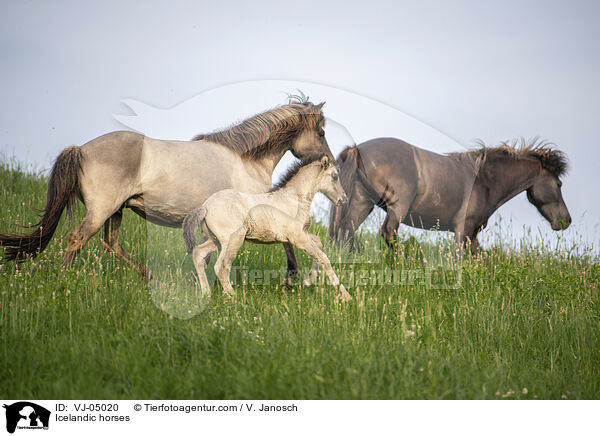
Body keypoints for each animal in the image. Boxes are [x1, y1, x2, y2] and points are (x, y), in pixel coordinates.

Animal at [0, 96, 332, 278]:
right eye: (322, 132)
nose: (329, 161)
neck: (244, 158)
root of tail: (81, 150)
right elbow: (286, 241)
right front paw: (293, 277)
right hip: (102, 210)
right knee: (77, 239)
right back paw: (65, 279)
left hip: (116, 211)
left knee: (111, 244)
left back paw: (151, 279)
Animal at [183, 152, 352, 302]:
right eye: (335, 176)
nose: (343, 199)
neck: (294, 198)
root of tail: (205, 207)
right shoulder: (298, 237)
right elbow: (324, 258)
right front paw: (346, 296)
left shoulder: (300, 234)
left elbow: (318, 243)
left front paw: (308, 280)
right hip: (233, 240)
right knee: (221, 266)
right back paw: (233, 296)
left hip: (216, 241)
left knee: (198, 254)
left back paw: (206, 293)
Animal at [330, 136, 568, 252]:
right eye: (558, 184)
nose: (566, 220)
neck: (484, 180)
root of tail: (356, 149)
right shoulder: (464, 230)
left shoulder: (473, 234)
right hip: (397, 206)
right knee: (388, 233)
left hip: (362, 203)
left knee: (345, 231)